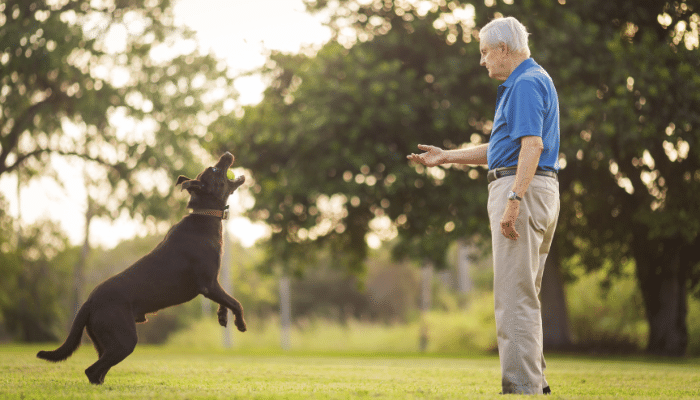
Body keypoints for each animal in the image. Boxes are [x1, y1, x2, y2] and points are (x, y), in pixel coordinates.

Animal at [38, 152, 247, 382]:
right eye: (215, 170)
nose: (227, 154)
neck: (204, 214)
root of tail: (89, 302)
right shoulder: (208, 284)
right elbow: (236, 302)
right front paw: (240, 323)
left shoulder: (214, 284)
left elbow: (225, 300)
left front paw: (222, 316)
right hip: (124, 340)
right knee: (92, 371)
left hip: (106, 342)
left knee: (98, 371)